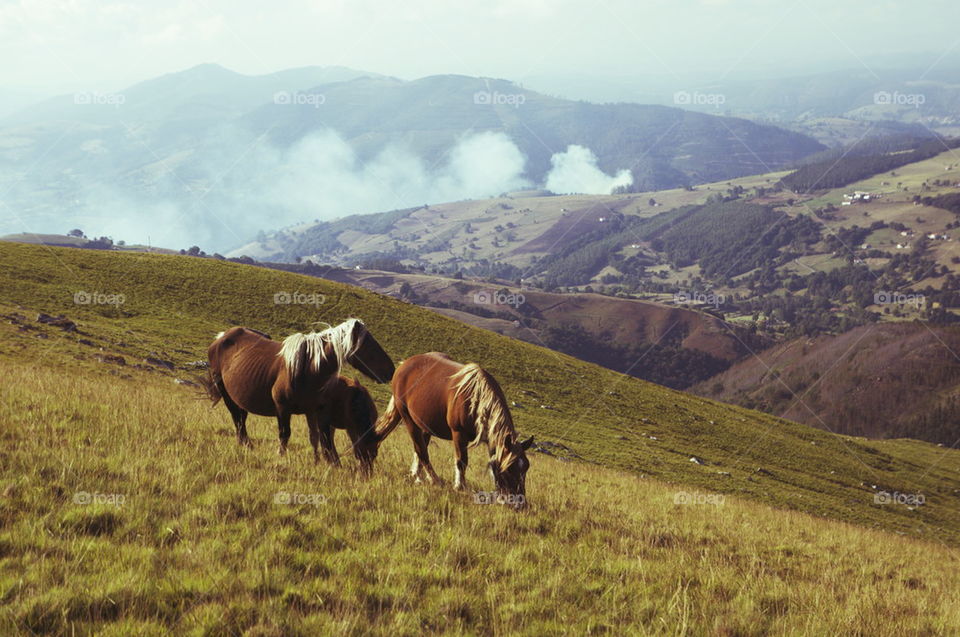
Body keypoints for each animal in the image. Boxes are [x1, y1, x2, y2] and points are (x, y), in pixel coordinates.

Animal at [203, 318, 394, 462]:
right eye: (367, 345)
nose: (391, 370)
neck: (308, 367)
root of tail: (222, 337)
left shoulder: (314, 410)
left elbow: (317, 438)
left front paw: (321, 462)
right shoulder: (282, 408)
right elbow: (285, 434)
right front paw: (280, 456)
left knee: (241, 417)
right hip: (225, 393)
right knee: (237, 418)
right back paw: (245, 444)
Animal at [375, 352, 532, 509]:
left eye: (526, 467)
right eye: (510, 468)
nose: (520, 504)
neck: (476, 399)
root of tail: (404, 365)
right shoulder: (458, 434)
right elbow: (461, 461)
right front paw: (460, 487)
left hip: (424, 425)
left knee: (420, 449)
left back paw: (417, 475)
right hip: (408, 419)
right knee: (421, 450)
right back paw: (432, 479)